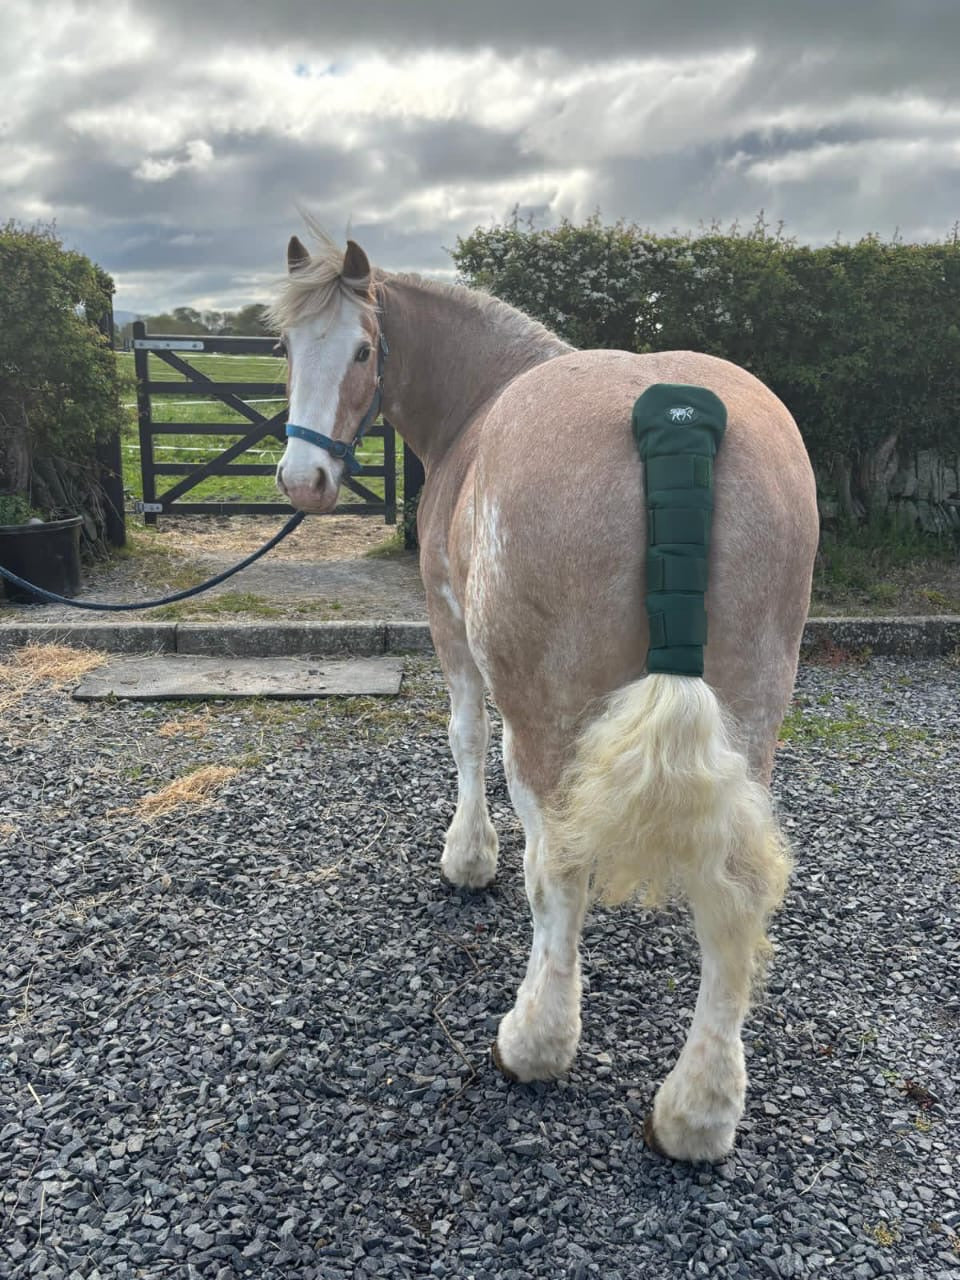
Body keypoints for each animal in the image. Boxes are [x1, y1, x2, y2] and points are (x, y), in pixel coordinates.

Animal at [269, 225, 819, 1162]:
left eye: (364, 349)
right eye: (284, 349)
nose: (303, 480)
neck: (482, 396)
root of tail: (674, 417)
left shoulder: (449, 623)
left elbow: (462, 738)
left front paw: (468, 858)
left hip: (545, 715)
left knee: (558, 865)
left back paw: (535, 1040)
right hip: (752, 718)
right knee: (737, 889)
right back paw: (699, 1113)